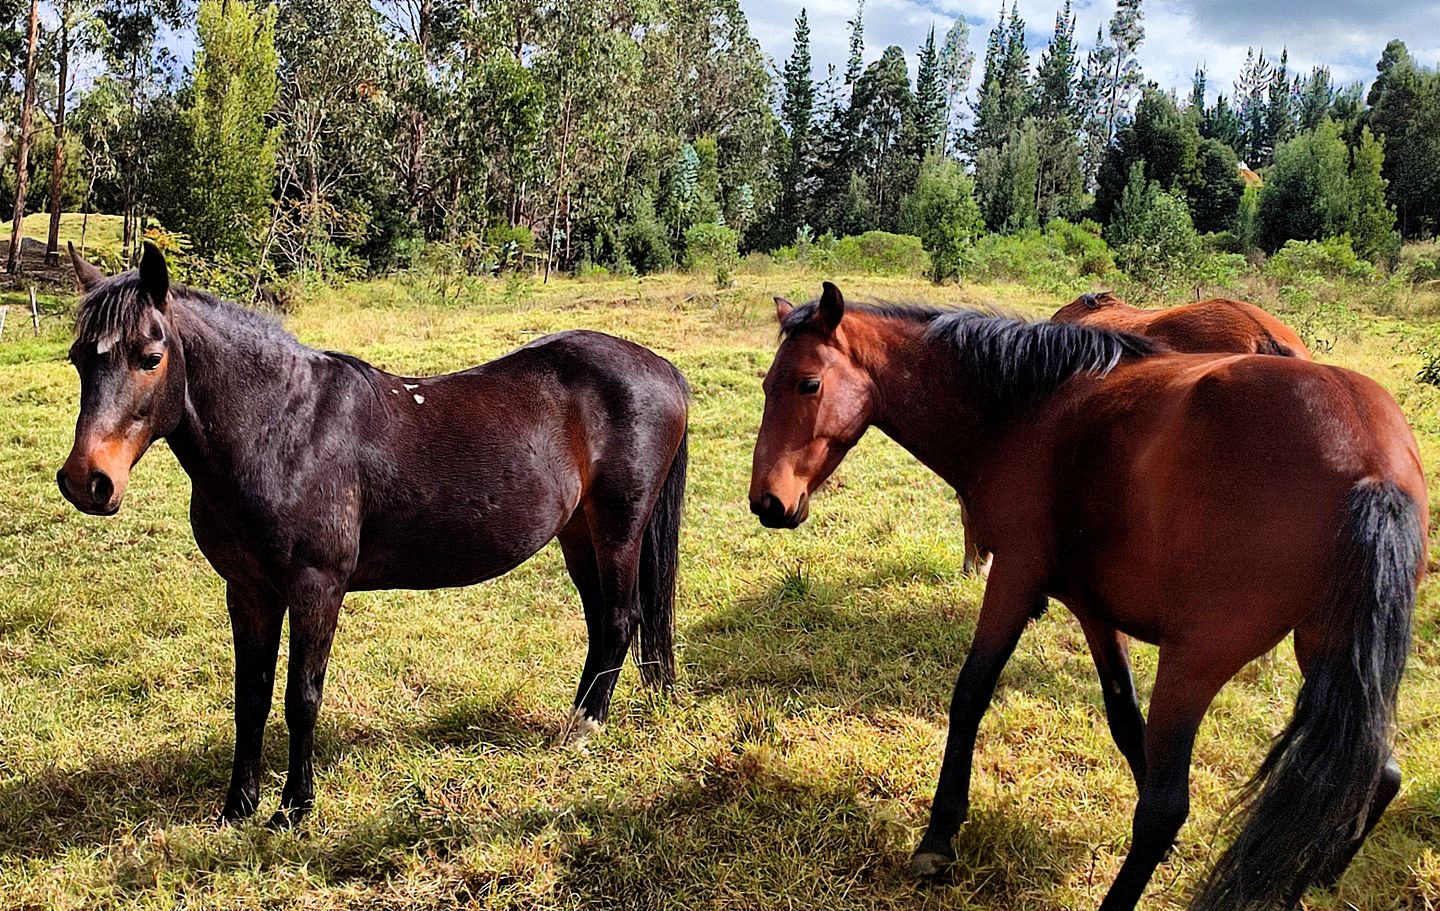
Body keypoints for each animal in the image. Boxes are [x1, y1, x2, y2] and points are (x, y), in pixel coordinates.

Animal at [64, 244, 694, 828]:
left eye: (150, 357)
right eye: (76, 358)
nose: (86, 481)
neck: (282, 430)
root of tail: (662, 368)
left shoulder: (316, 587)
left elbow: (301, 697)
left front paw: (294, 808)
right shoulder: (248, 592)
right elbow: (251, 697)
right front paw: (239, 806)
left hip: (618, 529)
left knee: (620, 619)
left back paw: (583, 732)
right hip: (578, 532)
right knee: (601, 622)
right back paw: (574, 724)